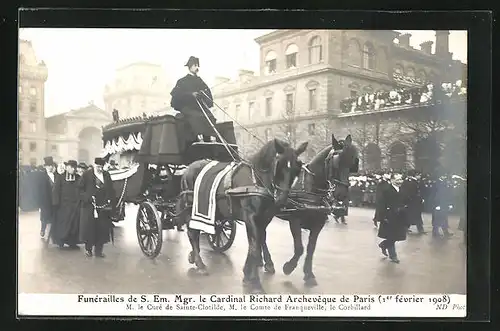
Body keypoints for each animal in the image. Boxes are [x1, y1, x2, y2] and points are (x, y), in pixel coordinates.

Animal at [178, 139, 306, 294]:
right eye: (278, 164)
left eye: (297, 167)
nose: (281, 199)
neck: (256, 180)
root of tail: (188, 169)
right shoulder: (250, 217)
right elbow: (254, 248)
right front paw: (255, 282)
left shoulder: (264, 218)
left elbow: (257, 243)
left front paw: (248, 274)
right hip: (191, 208)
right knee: (192, 233)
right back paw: (199, 262)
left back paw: (194, 256)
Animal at [260, 135, 358, 288]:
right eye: (336, 162)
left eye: (352, 162)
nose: (341, 194)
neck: (311, 188)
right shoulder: (295, 220)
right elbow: (299, 248)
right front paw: (289, 267)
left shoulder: (318, 224)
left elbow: (311, 248)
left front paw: (308, 273)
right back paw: (268, 263)